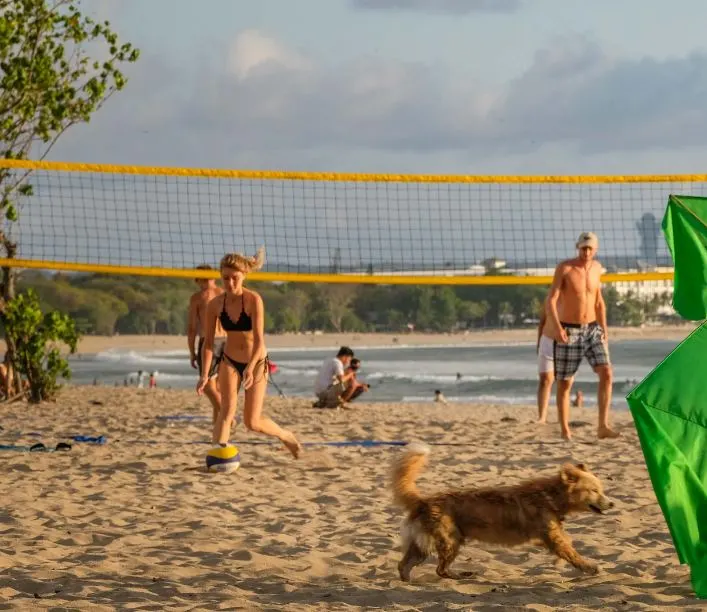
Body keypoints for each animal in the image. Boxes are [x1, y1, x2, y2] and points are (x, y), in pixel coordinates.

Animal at [392, 442, 612, 580]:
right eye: (594, 491)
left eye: (601, 489)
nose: (611, 505)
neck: (550, 496)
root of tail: (424, 500)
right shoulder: (553, 538)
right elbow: (572, 553)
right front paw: (590, 567)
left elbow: (568, 545)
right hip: (450, 541)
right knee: (440, 569)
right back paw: (462, 576)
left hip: (424, 544)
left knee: (404, 565)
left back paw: (410, 581)